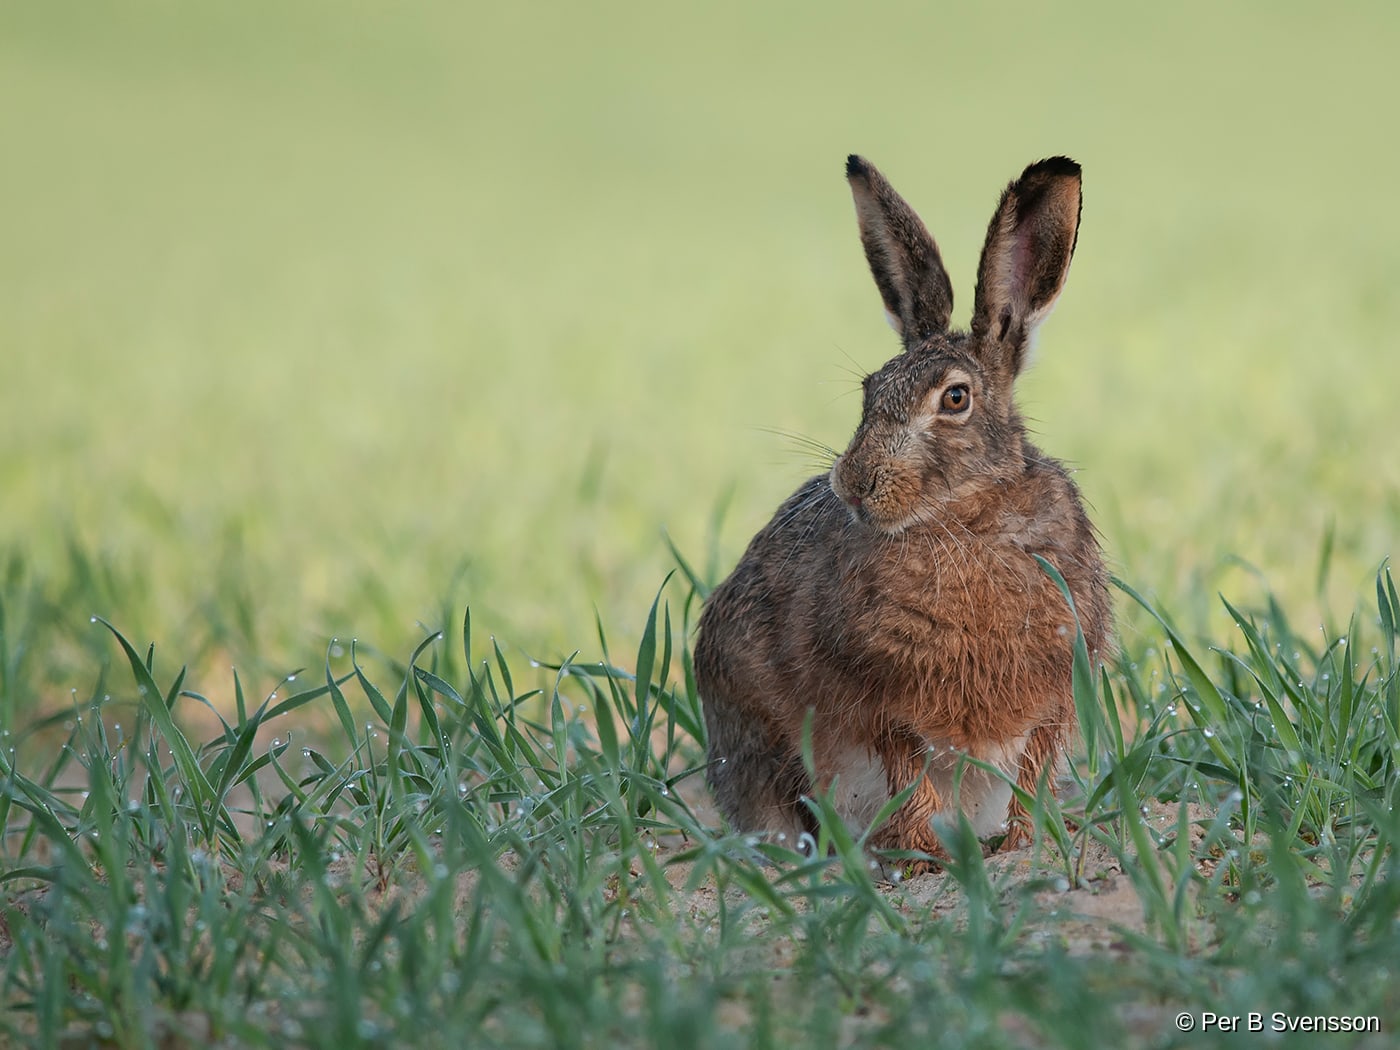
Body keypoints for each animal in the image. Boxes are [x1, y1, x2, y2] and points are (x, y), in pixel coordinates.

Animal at [694, 155, 1112, 870]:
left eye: (955, 398)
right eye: (869, 391)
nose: (854, 483)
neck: (963, 523)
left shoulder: (1056, 694)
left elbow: (1032, 769)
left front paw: (1025, 841)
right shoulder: (880, 705)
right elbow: (909, 777)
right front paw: (927, 854)